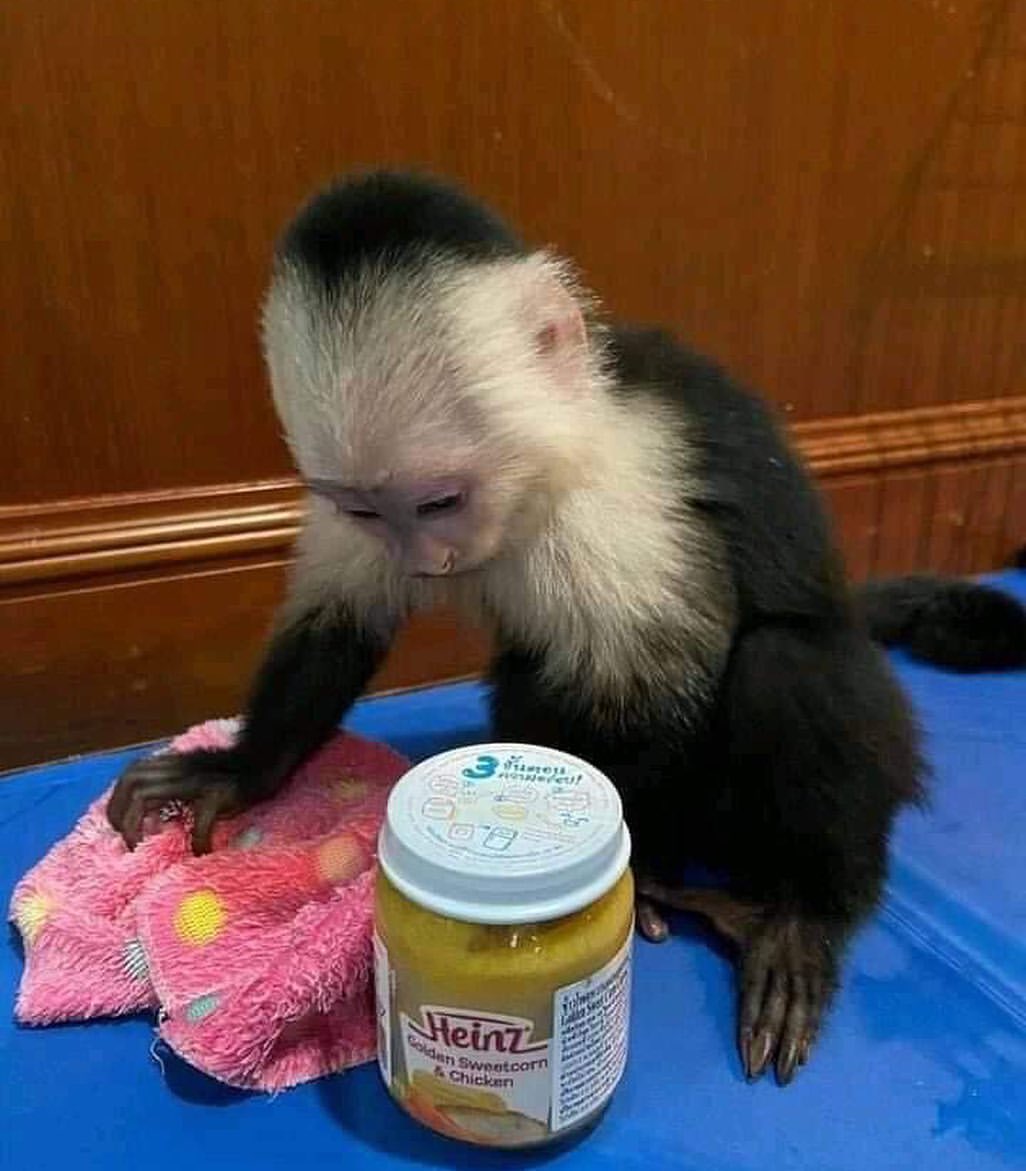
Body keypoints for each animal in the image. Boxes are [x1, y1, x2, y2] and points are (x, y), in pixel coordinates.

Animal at [107, 170, 1026, 1086]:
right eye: (369, 510)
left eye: (441, 501)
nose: (426, 561)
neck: (539, 470)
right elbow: (340, 622)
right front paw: (239, 769)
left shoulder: (617, 503)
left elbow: (667, 687)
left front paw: (635, 864)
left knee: (785, 660)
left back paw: (805, 911)